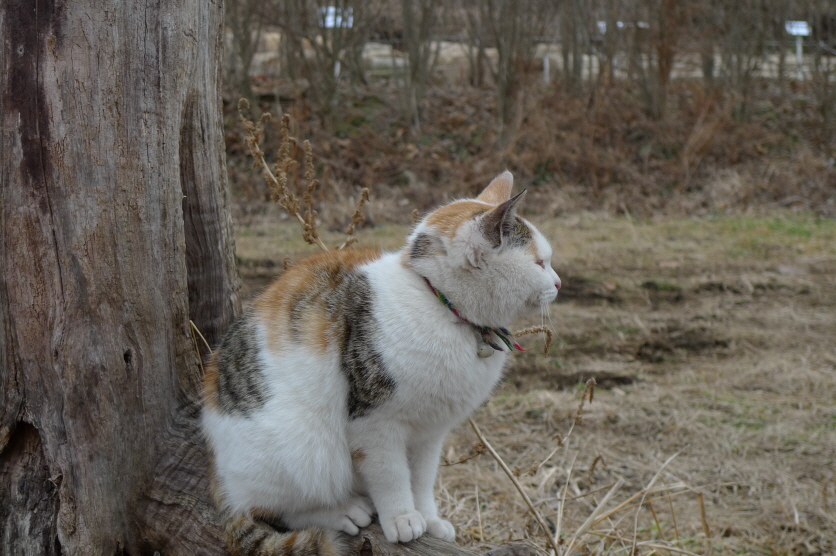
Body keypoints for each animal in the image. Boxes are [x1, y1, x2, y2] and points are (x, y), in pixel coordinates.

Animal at [201, 172, 560, 552]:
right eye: (540, 263)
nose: (558, 282)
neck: (438, 304)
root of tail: (219, 479)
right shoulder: (374, 424)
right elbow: (391, 476)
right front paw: (402, 518)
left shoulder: (430, 432)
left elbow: (422, 479)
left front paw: (429, 518)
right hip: (303, 447)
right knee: (271, 509)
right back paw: (343, 511)